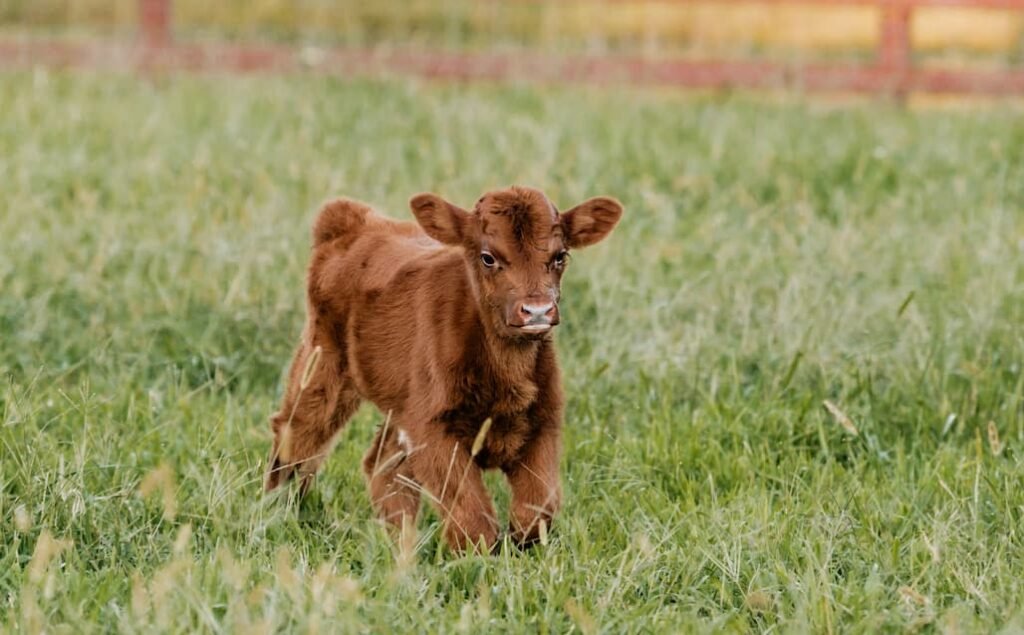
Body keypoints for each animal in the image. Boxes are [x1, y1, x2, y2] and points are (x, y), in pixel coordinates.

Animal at [264, 185, 623, 552]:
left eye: (560, 256)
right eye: (488, 257)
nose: (537, 311)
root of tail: (355, 221)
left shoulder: (543, 421)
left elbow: (537, 509)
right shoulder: (433, 431)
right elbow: (474, 517)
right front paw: (474, 560)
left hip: (402, 404)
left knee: (381, 461)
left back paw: (401, 542)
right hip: (324, 363)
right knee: (298, 435)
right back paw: (276, 513)